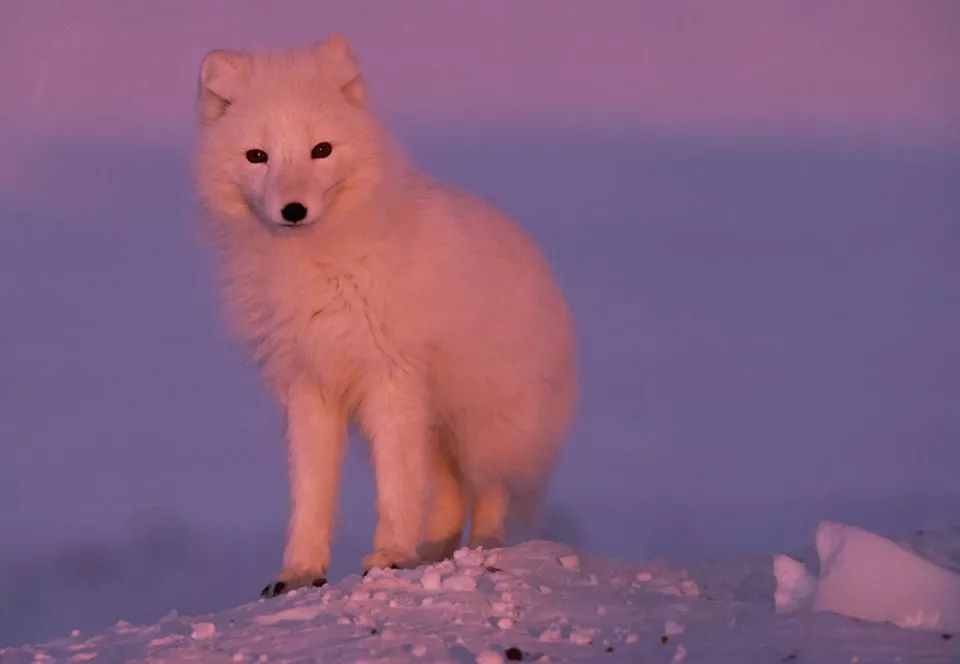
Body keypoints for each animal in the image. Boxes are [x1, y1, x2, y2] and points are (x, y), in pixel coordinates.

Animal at [191, 36, 572, 596]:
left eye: (321, 150)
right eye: (257, 156)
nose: (294, 210)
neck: (319, 269)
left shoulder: (391, 377)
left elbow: (394, 485)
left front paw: (389, 554)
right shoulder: (309, 384)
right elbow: (311, 490)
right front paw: (299, 570)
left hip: (483, 419)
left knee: (488, 487)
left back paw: (480, 547)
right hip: (433, 429)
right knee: (447, 493)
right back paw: (433, 552)